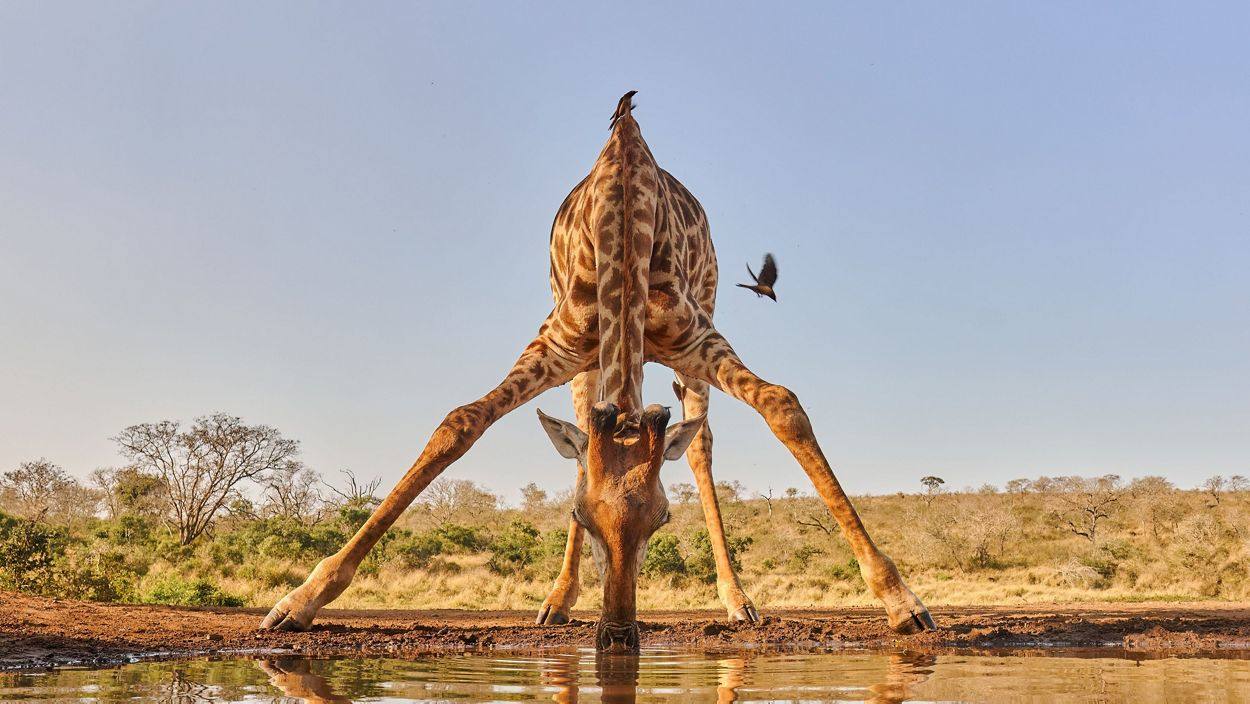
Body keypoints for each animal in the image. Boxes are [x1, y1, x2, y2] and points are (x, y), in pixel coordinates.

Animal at [260, 91, 935, 646]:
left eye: (662, 519)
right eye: (584, 517)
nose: (617, 634)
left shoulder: (695, 334)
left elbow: (782, 405)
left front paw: (901, 599)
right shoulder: (556, 343)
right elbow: (461, 422)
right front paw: (299, 601)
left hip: (697, 330)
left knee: (699, 445)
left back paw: (736, 601)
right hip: (585, 366)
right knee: (582, 436)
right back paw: (557, 603)